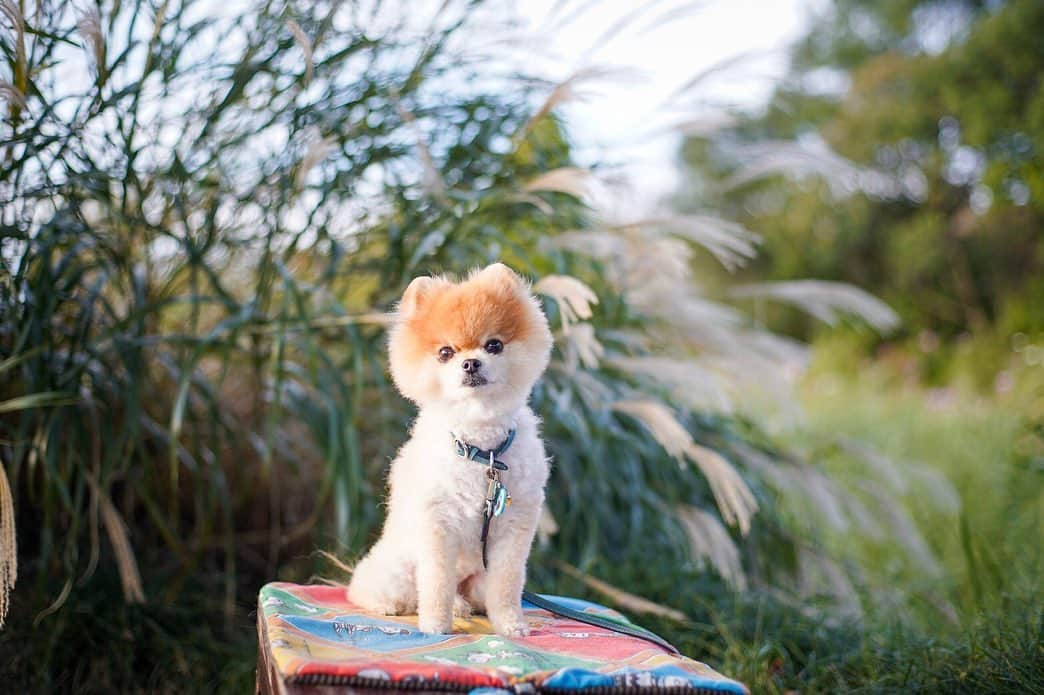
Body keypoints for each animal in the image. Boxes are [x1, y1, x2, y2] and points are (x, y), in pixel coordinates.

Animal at [348, 260, 555, 634]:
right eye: (445, 352)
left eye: (494, 345)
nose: (470, 363)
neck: (481, 450)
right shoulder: (437, 524)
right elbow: (436, 582)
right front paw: (435, 624)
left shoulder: (514, 529)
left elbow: (507, 586)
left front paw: (511, 626)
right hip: (398, 572)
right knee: (382, 590)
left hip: (478, 579)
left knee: (476, 594)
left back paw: (464, 606)